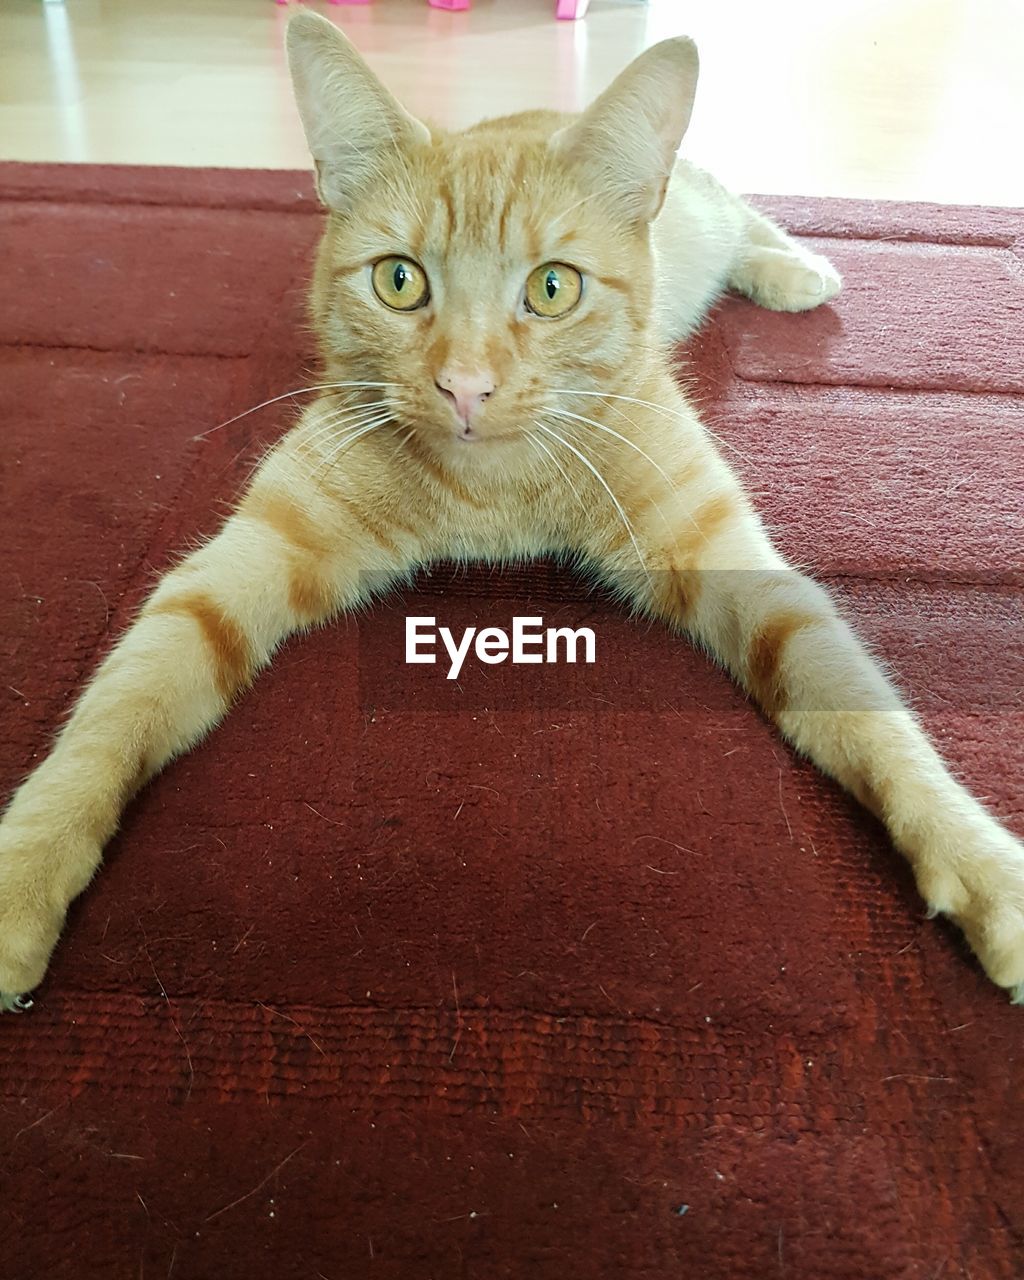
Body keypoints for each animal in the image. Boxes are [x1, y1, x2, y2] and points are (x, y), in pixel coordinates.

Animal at [2, 12, 1024, 1008]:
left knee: (744, 213)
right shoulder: (238, 563)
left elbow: (860, 703)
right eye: (399, 280)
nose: (464, 386)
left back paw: (796, 268)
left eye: (552, 287)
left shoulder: (741, 566)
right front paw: (27, 871)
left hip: (701, 207)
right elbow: (121, 702)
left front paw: (977, 860)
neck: (492, 498)